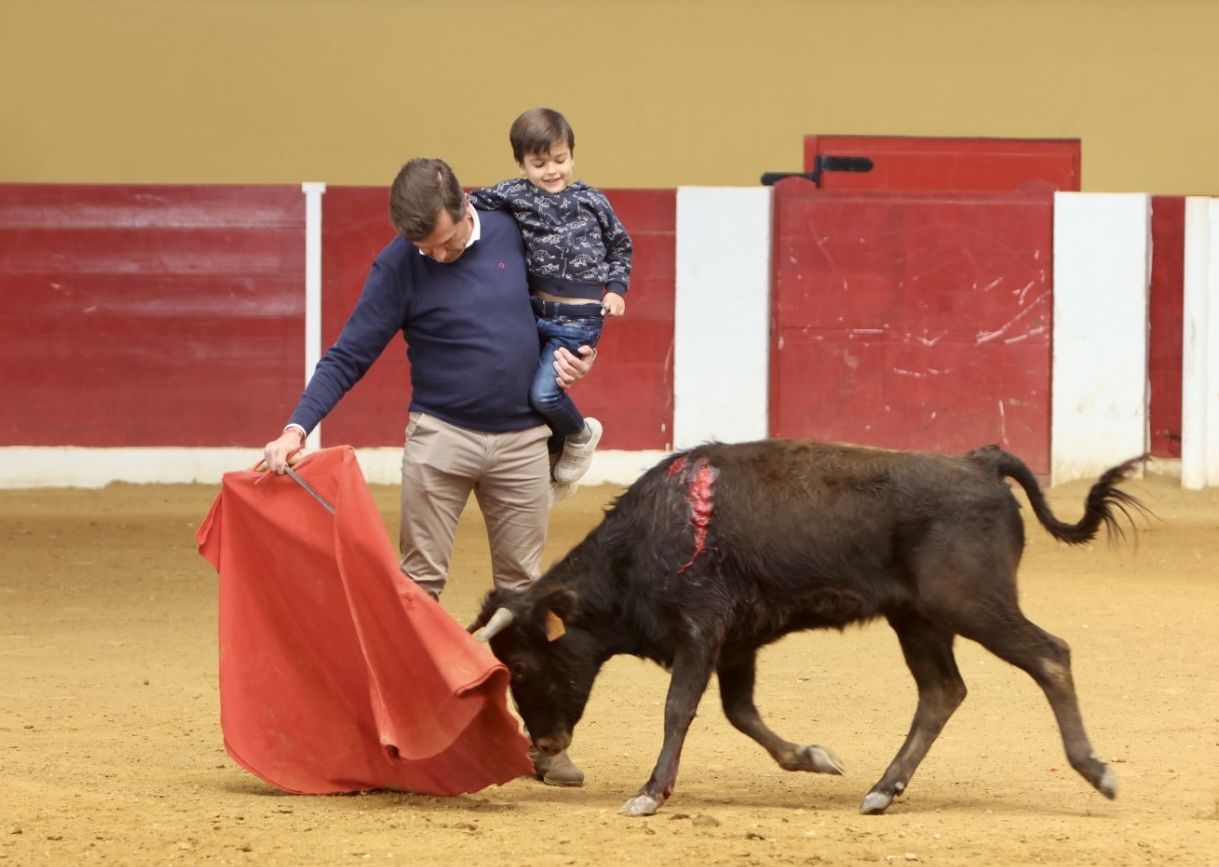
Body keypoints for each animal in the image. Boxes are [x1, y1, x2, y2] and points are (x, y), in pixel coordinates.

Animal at [470, 443, 1145, 819]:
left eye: (522, 665)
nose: (543, 749)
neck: (647, 537)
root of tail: (980, 461)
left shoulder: (700, 629)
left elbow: (678, 709)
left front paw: (649, 794)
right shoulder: (735, 644)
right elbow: (740, 711)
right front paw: (811, 758)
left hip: (972, 604)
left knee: (1049, 656)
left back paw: (1097, 770)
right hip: (918, 619)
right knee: (941, 692)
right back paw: (882, 790)